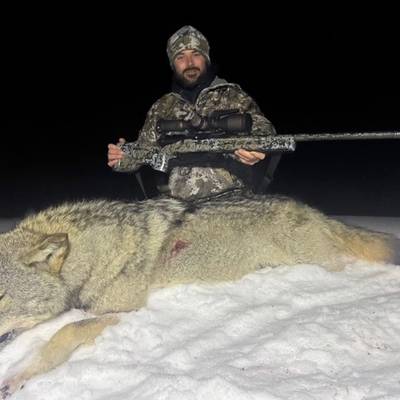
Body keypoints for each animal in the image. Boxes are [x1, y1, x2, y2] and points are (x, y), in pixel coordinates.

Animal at [0, 194, 398, 398]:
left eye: (2, 297)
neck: (91, 256)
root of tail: (316, 212)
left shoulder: (126, 313)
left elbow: (63, 333)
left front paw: (16, 378)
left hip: (314, 264)